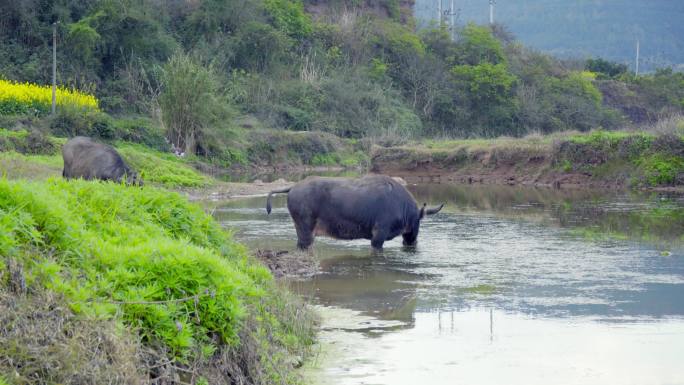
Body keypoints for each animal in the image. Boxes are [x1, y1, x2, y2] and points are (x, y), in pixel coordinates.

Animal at [264, 174, 446, 249]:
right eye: (419, 222)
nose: (412, 241)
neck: (403, 208)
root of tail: (292, 188)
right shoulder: (378, 236)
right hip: (305, 232)